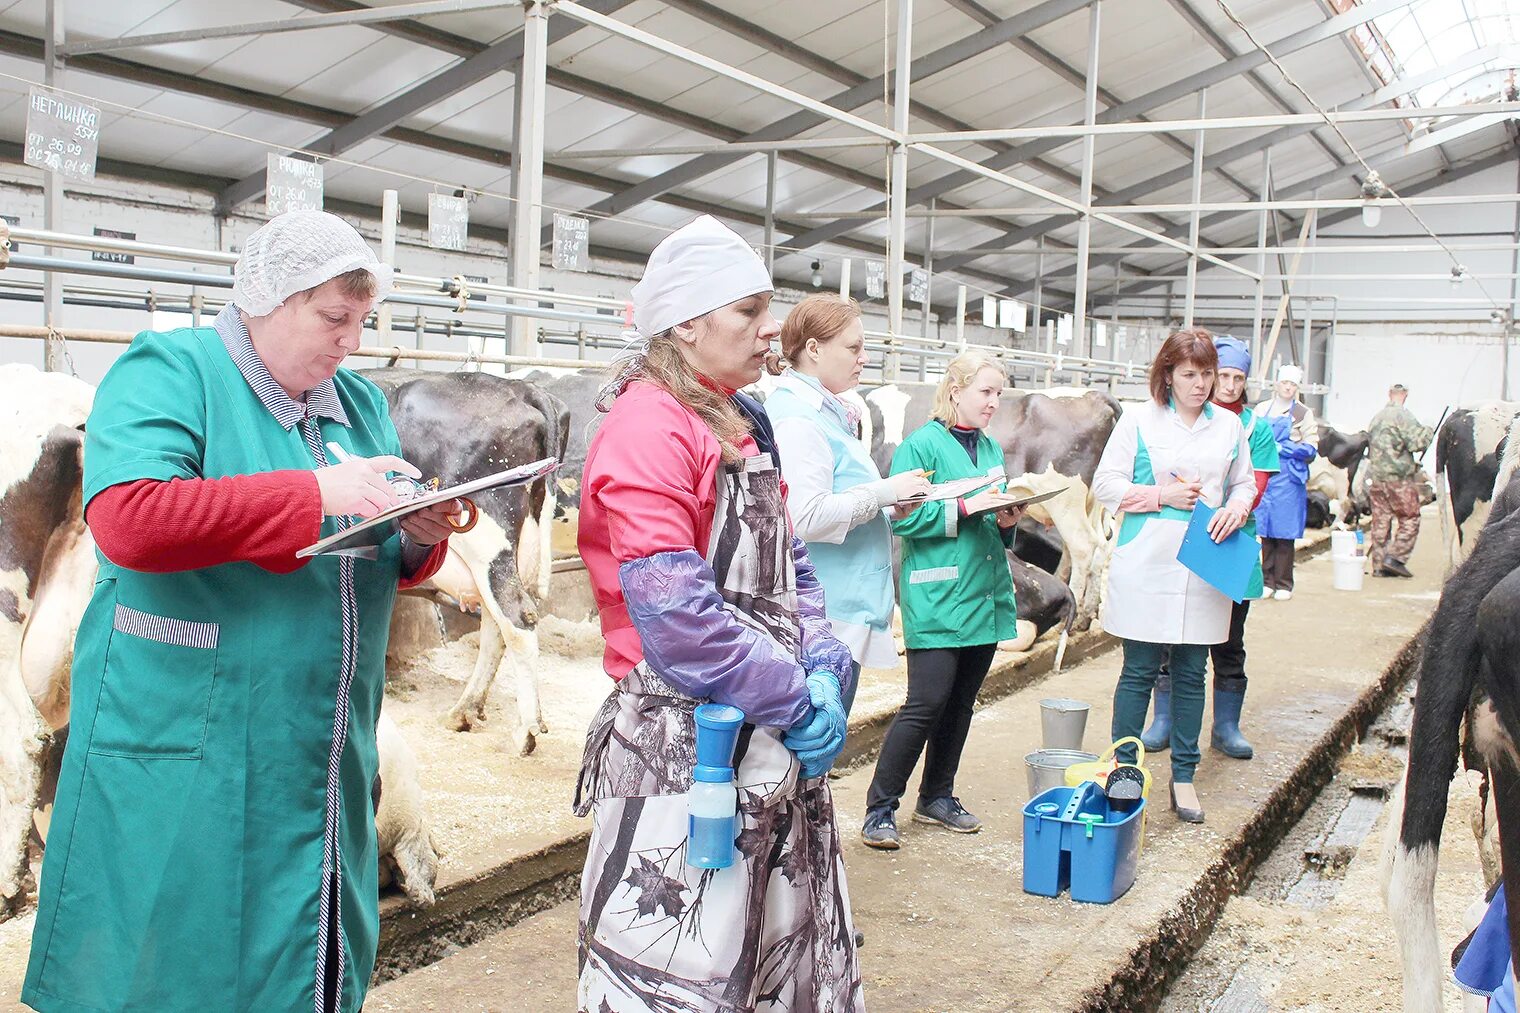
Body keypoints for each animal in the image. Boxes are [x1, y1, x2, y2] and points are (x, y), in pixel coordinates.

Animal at [366, 366, 571, 754]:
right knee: (498, 624)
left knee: (516, 617)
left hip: (484, 532)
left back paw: (525, 731)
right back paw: (466, 711)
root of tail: (522, 388)